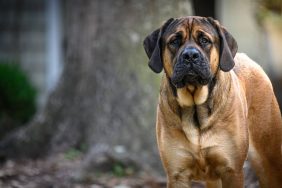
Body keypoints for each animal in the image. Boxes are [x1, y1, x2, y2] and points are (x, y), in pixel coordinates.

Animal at [143, 16, 282, 188]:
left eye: (205, 40)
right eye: (174, 41)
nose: (190, 55)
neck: (195, 108)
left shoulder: (232, 171)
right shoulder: (177, 174)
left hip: (269, 159)